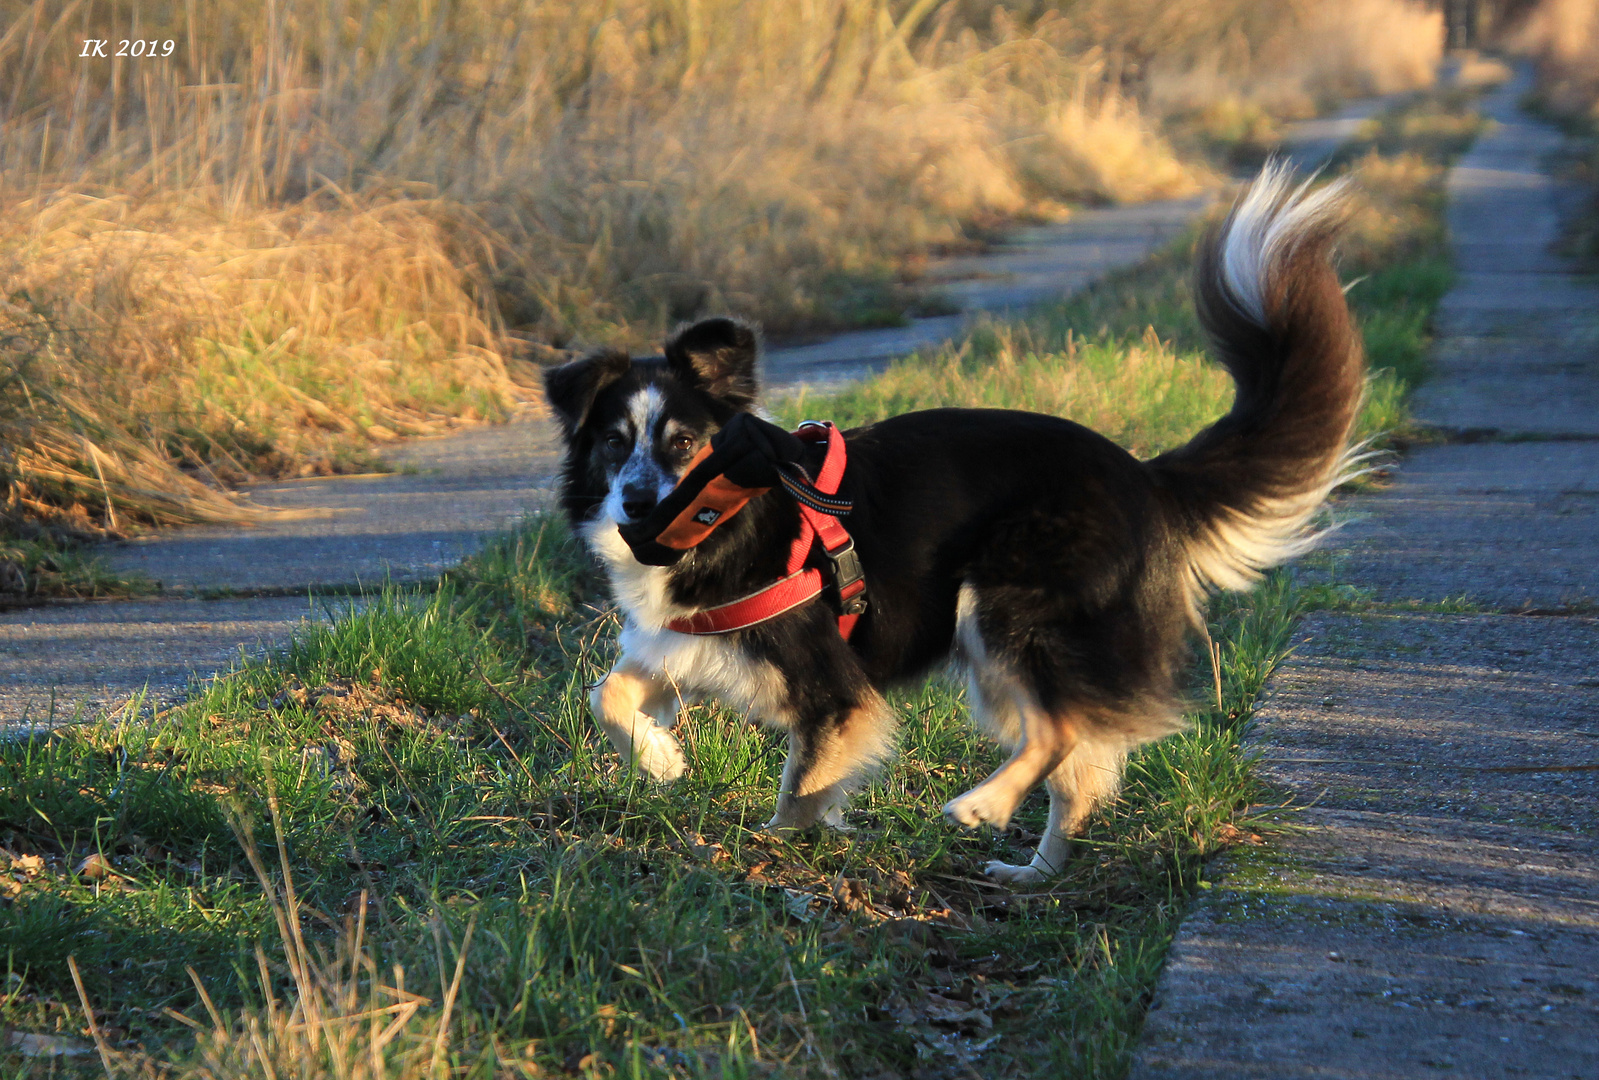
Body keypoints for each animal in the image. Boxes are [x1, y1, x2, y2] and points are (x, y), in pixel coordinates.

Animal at [546, 164, 1362, 883]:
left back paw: (982, 807)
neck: (728, 515)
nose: (636, 504)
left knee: (1060, 730)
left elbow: (799, 788)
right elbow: (604, 695)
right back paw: (1033, 875)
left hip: (1007, 606)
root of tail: (1142, 475)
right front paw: (660, 758)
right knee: (1077, 768)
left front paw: (769, 852)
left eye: (683, 442)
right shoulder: (680, 643)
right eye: (613, 442)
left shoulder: (832, 687)